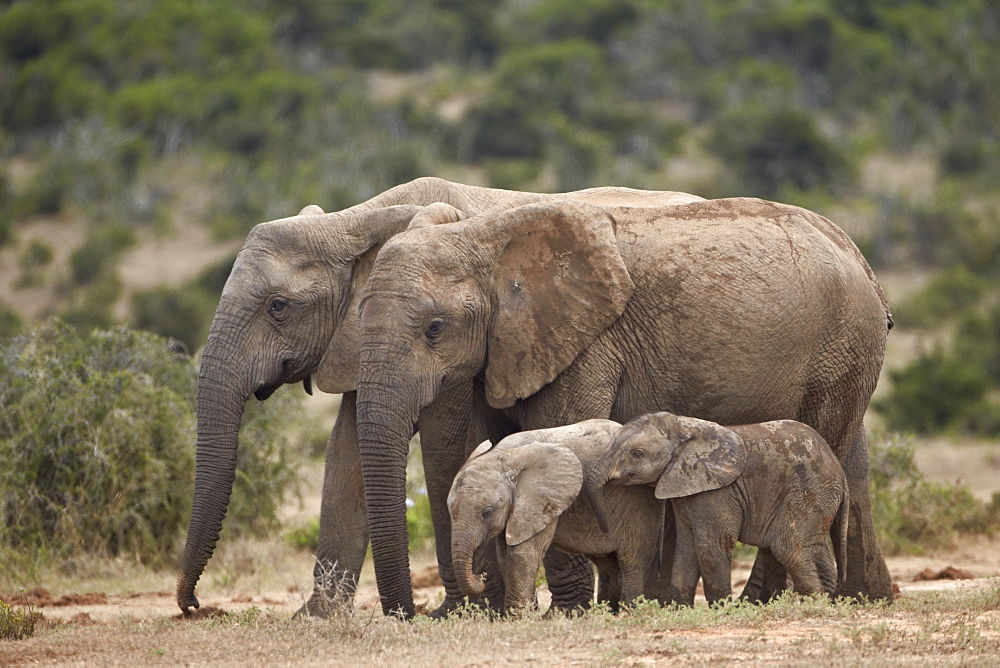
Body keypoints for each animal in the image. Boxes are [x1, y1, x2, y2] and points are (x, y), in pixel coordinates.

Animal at [448, 420, 672, 612]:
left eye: (487, 513)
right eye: (451, 511)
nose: (480, 576)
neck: (502, 456)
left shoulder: (541, 500)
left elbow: (523, 554)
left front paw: (517, 618)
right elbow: (505, 556)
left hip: (639, 502)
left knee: (632, 560)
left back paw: (629, 612)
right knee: (607, 563)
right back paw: (607, 612)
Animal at [584, 412, 852, 604]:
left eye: (637, 454)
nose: (605, 526)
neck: (683, 428)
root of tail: (839, 470)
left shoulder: (717, 491)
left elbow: (711, 545)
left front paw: (722, 610)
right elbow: (687, 546)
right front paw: (682, 611)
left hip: (810, 490)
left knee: (787, 548)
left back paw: (816, 604)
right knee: (814, 547)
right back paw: (828, 601)